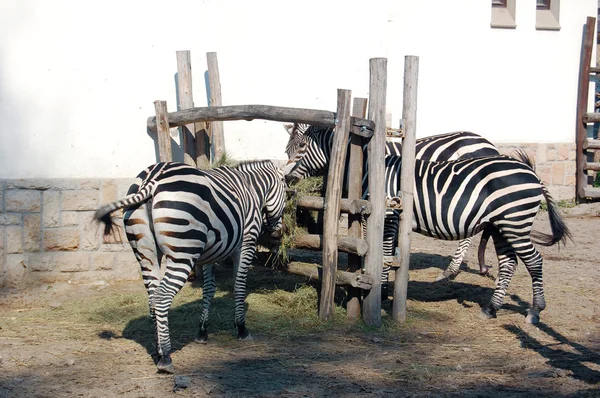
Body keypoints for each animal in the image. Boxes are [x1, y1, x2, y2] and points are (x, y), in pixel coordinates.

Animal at [95, 159, 288, 374]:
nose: (276, 231)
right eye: (286, 192)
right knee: (162, 297)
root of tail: (152, 179)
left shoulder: (211, 252)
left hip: (146, 253)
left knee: (152, 297)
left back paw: (158, 350)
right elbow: (239, 286)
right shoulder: (246, 242)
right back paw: (166, 358)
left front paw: (202, 332)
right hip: (183, 252)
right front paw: (241, 329)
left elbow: (209, 289)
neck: (252, 188)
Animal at [284, 123, 500, 288]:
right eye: (287, 151)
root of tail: (488, 143)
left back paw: (450, 271)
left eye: (302, 146)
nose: (287, 178)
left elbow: (367, 233)